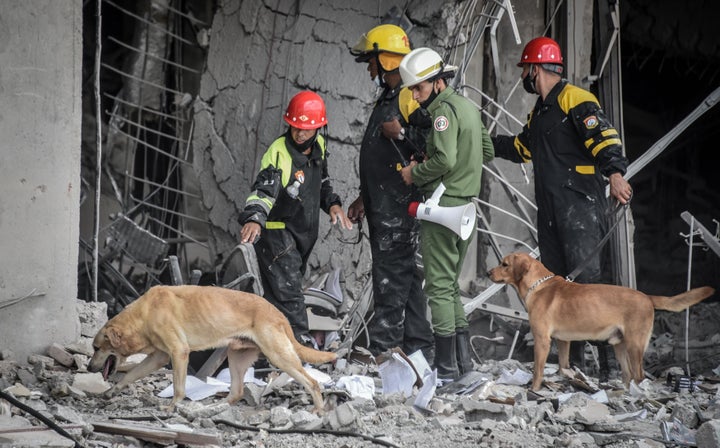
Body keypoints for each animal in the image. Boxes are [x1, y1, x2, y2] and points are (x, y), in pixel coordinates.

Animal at [88, 286, 338, 414]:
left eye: (97, 347)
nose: (89, 368)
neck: (143, 314)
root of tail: (277, 312)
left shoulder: (178, 352)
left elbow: (179, 388)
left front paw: (172, 407)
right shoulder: (159, 357)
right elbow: (130, 374)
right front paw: (111, 391)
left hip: (279, 356)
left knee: (312, 382)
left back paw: (318, 410)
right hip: (236, 356)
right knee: (236, 392)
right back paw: (213, 407)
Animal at [486, 254, 716, 390]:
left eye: (504, 264)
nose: (488, 272)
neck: (538, 285)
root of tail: (647, 297)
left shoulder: (542, 340)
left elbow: (537, 370)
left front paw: (534, 390)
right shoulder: (563, 341)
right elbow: (563, 365)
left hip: (635, 345)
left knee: (639, 376)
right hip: (620, 346)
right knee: (627, 375)